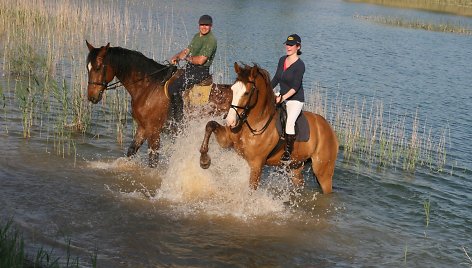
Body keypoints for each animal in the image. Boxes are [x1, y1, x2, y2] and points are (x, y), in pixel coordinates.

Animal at [86, 41, 232, 168]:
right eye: (88, 68)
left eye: (98, 67)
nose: (92, 96)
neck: (148, 86)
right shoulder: (143, 127)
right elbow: (131, 151)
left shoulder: (154, 131)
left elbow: (153, 160)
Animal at [199, 62, 340, 193]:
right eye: (232, 90)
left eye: (247, 93)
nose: (230, 121)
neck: (255, 123)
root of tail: (330, 129)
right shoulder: (226, 141)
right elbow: (210, 125)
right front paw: (204, 160)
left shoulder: (256, 164)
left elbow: (251, 190)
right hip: (296, 166)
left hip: (323, 173)